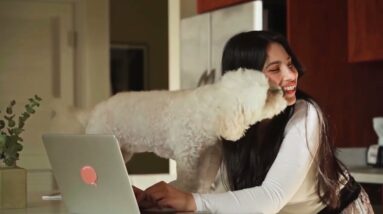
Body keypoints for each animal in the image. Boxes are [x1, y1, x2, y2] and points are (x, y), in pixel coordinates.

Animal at [84, 68, 288, 192]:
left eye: (271, 85)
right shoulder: (187, 158)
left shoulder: (208, 157)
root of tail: (95, 110)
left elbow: (203, 182)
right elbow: (185, 183)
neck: (210, 109)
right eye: (268, 95)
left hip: (123, 151)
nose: (282, 91)